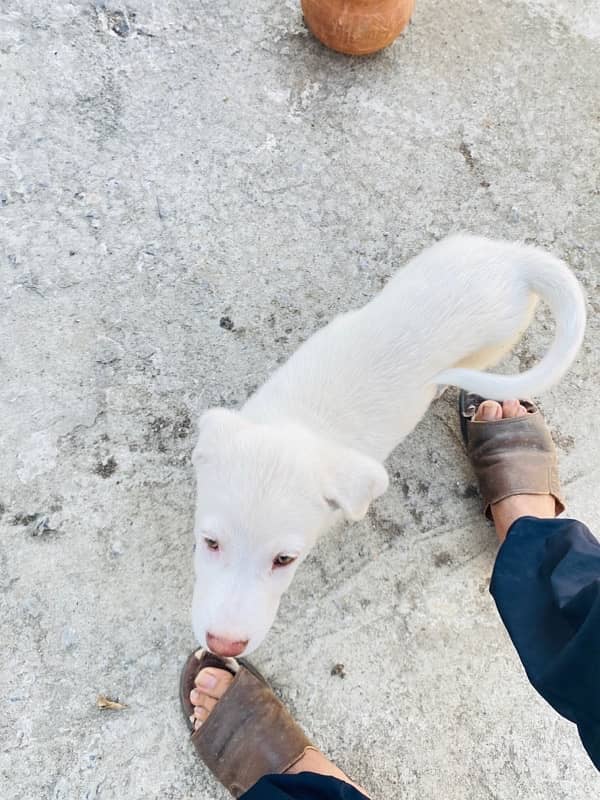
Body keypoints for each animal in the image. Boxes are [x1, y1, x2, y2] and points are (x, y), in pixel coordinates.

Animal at [192, 233, 584, 656]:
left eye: (284, 559)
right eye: (210, 542)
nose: (223, 645)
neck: (298, 422)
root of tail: (516, 260)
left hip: (491, 344)